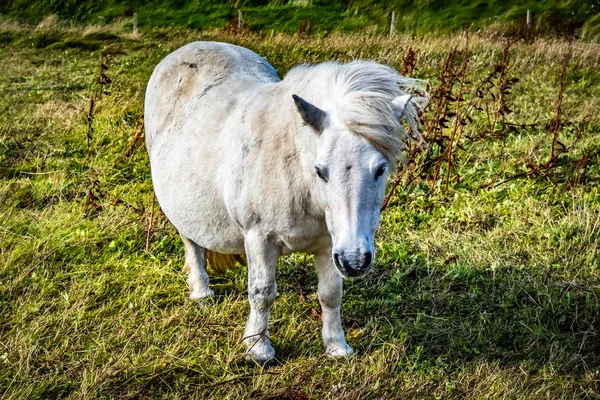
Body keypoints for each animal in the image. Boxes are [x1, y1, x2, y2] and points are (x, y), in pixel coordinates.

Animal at [145, 41, 426, 362]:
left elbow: (331, 293)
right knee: (192, 242)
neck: (296, 172)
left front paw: (337, 347)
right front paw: (258, 350)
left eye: (380, 169)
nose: (355, 261)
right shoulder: (258, 238)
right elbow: (262, 292)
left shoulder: (330, 244)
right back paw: (201, 292)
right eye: (320, 171)